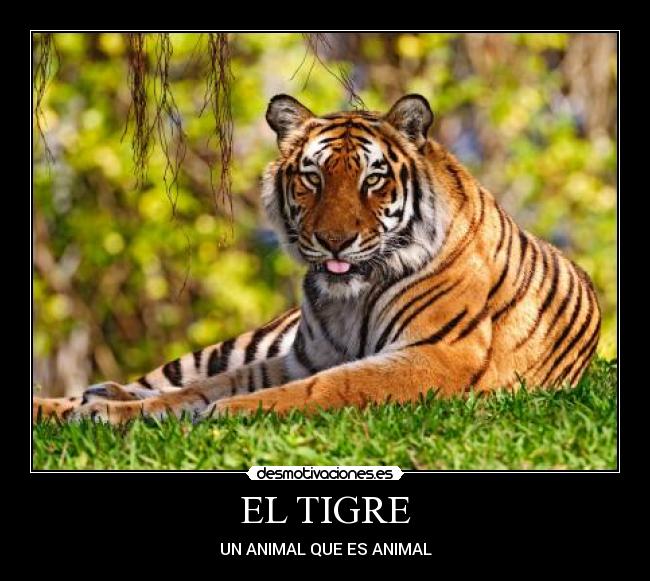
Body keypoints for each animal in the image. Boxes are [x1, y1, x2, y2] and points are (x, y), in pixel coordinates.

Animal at [32, 93, 601, 424]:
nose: (334, 241)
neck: (350, 299)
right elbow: (200, 388)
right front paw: (110, 413)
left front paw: (225, 412)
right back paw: (78, 402)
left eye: (373, 179)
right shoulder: (299, 356)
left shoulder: (438, 355)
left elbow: (326, 386)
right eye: (313, 177)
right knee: (158, 379)